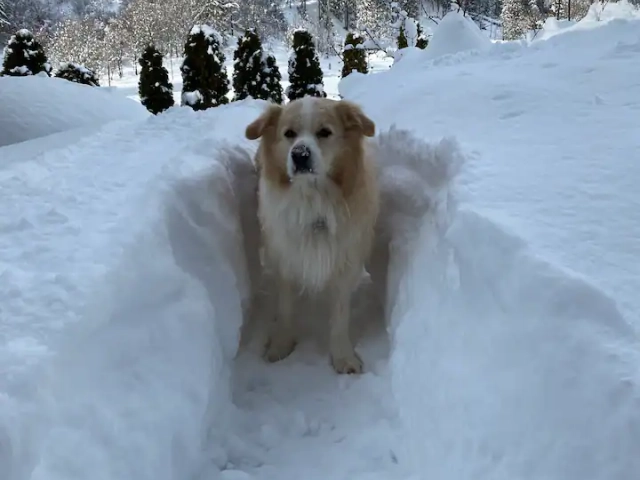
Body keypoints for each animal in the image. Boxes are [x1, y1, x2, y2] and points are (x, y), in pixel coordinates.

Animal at [244, 96, 378, 376]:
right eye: (289, 134)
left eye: (324, 132)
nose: (300, 154)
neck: (313, 200)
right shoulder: (284, 259)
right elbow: (285, 308)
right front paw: (281, 345)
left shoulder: (344, 262)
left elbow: (340, 316)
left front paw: (343, 357)